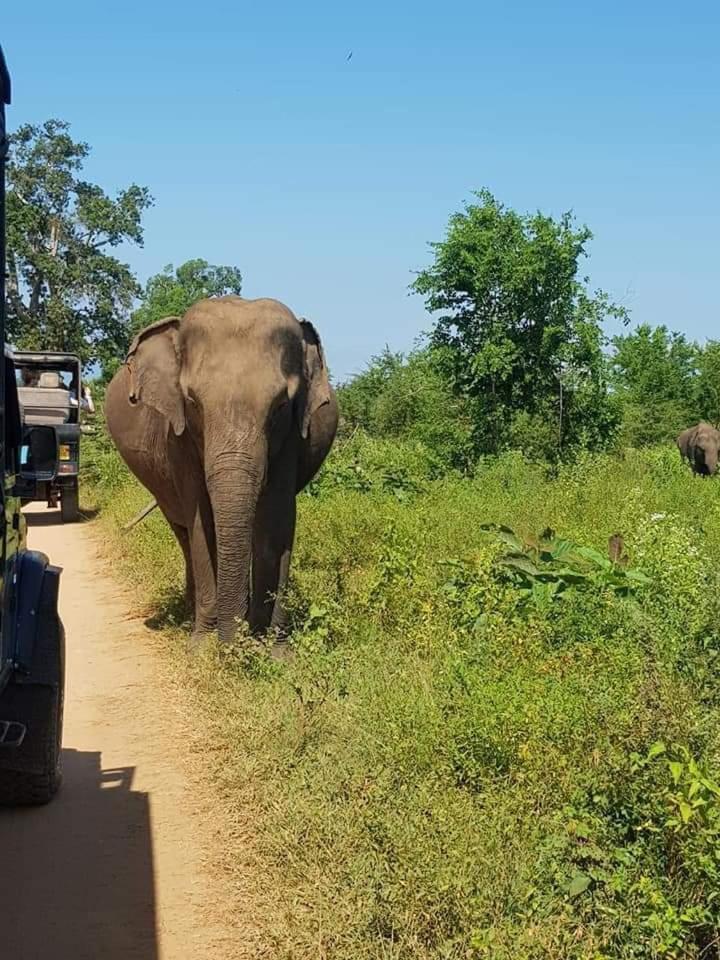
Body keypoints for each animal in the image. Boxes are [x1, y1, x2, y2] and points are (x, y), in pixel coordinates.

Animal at [105, 296, 338, 644]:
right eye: (193, 402)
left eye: (281, 406)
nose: (233, 640)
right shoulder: (179, 438)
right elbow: (201, 519)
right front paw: (203, 645)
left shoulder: (292, 438)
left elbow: (277, 519)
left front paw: (272, 647)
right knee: (183, 531)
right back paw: (189, 614)